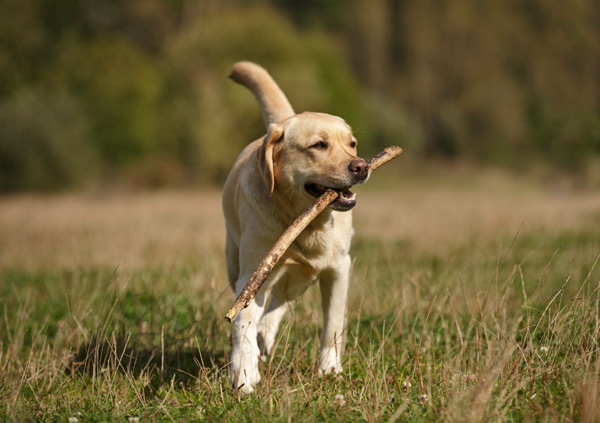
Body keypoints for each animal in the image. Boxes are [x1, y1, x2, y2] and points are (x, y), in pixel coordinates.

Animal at [223, 62, 368, 394]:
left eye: (351, 144)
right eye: (318, 145)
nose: (362, 166)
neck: (306, 223)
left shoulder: (339, 268)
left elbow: (333, 324)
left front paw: (330, 369)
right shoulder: (252, 274)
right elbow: (242, 321)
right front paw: (244, 372)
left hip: (302, 277)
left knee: (280, 301)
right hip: (236, 263)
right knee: (267, 302)